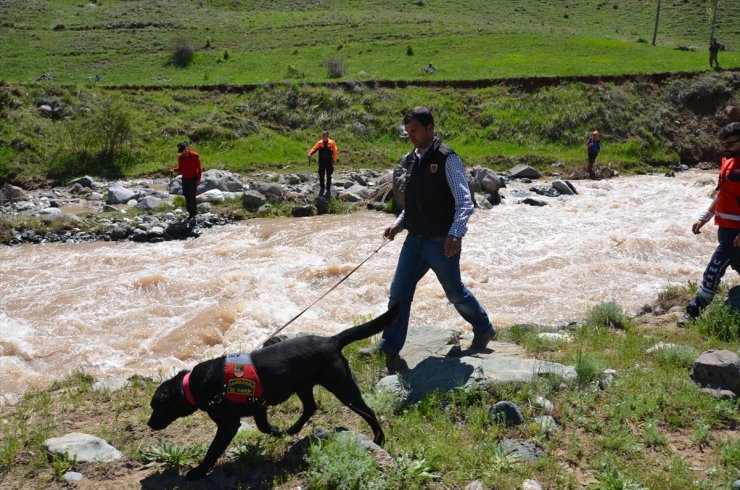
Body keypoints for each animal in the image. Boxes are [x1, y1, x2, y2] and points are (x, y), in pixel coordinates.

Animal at [149, 304, 398, 480]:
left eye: (156, 407)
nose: (150, 424)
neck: (194, 385)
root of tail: (331, 340)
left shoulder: (228, 425)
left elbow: (213, 450)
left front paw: (198, 471)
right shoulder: (259, 406)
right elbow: (263, 426)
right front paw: (277, 431)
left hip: (342, 387)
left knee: (368, 411)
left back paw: (379, 438)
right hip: (304, 386)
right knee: (311, 407)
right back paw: (293, 429)